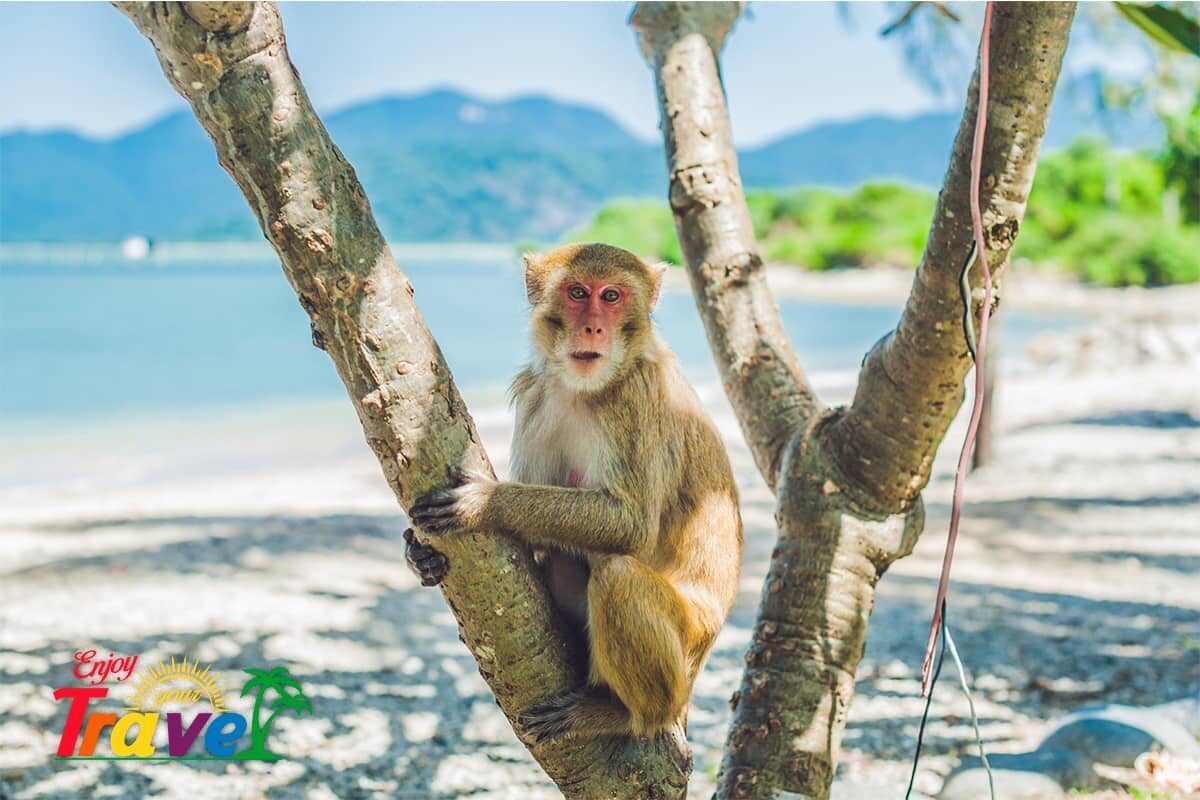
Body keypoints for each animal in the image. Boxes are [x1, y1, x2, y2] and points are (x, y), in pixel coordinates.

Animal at [406, 242, 743, 744]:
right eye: (578, 292)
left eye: (612, 296)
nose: (593, 326)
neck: (587, 389)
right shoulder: (536, 396)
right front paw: (419, 556)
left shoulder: (638, 397)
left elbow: (633, 526)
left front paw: (485, 504)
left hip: (686, 649)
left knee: (618, 576)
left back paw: (626, 715)